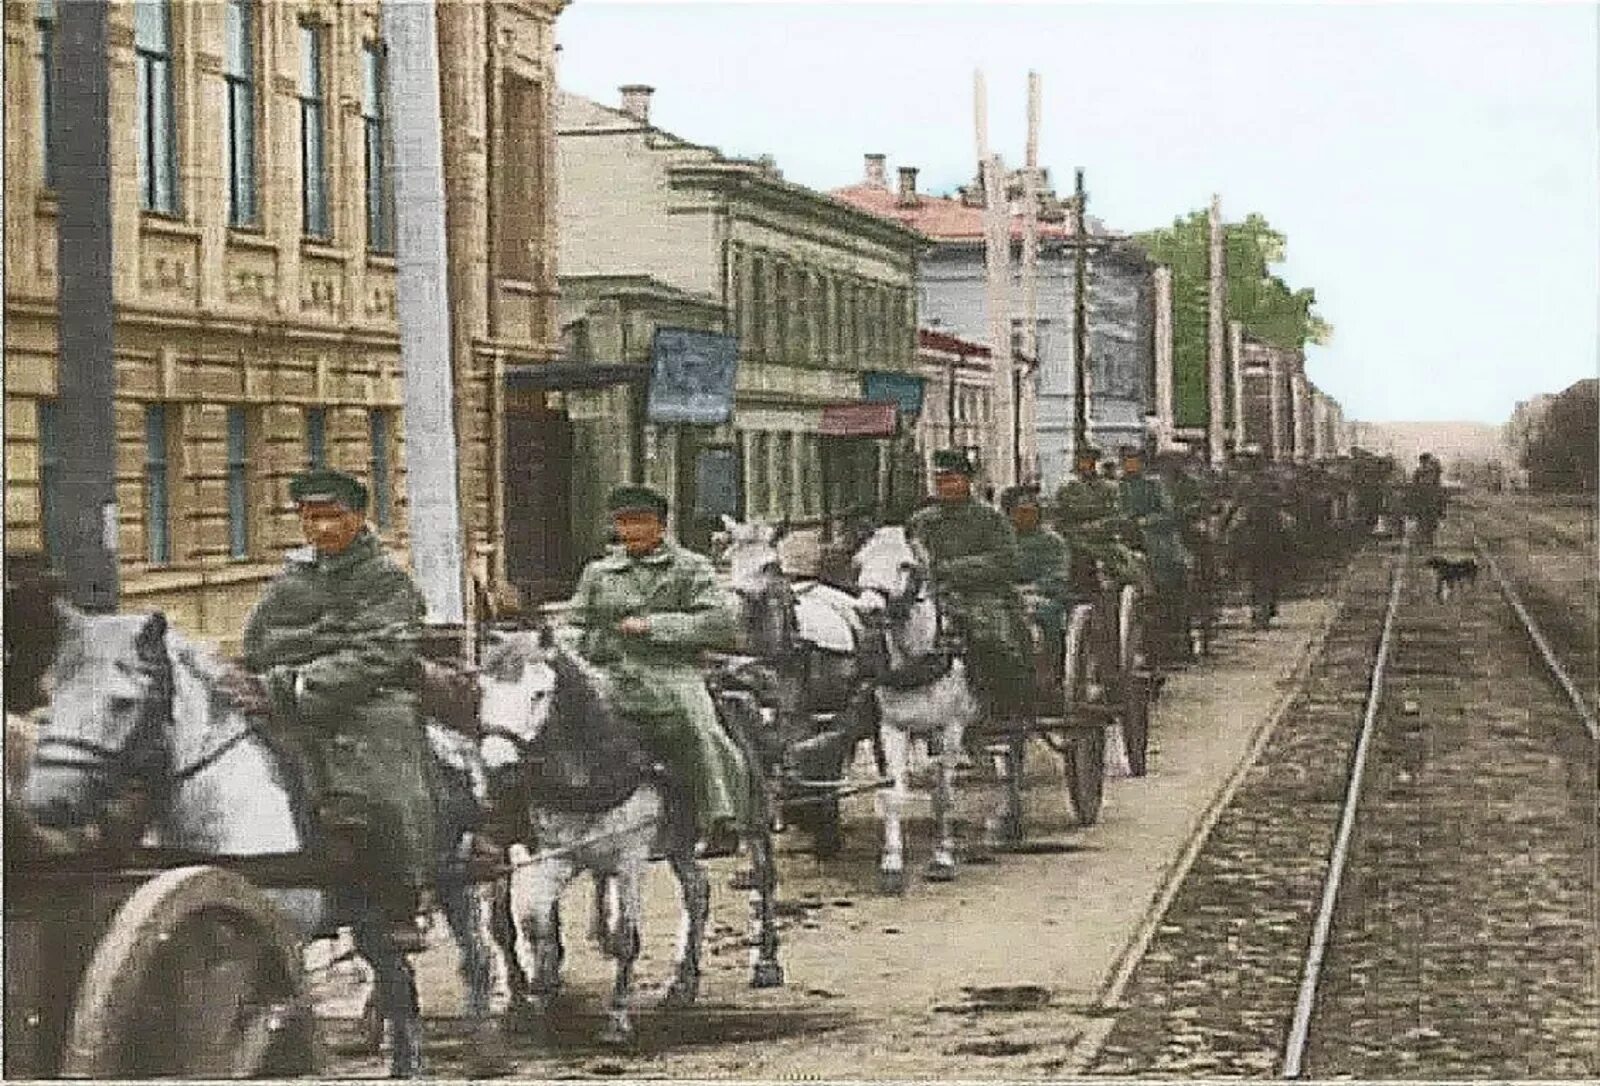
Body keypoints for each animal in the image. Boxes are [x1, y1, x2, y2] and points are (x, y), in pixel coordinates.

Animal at [851, 524, 972, 889]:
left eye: (905, 564)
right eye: (859, 561)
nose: (868, 609)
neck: (918, 662)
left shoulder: (950, 729)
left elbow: (943, 795)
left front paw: (943, 857)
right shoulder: (892, 729)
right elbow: (894, 795)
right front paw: (892, 864)